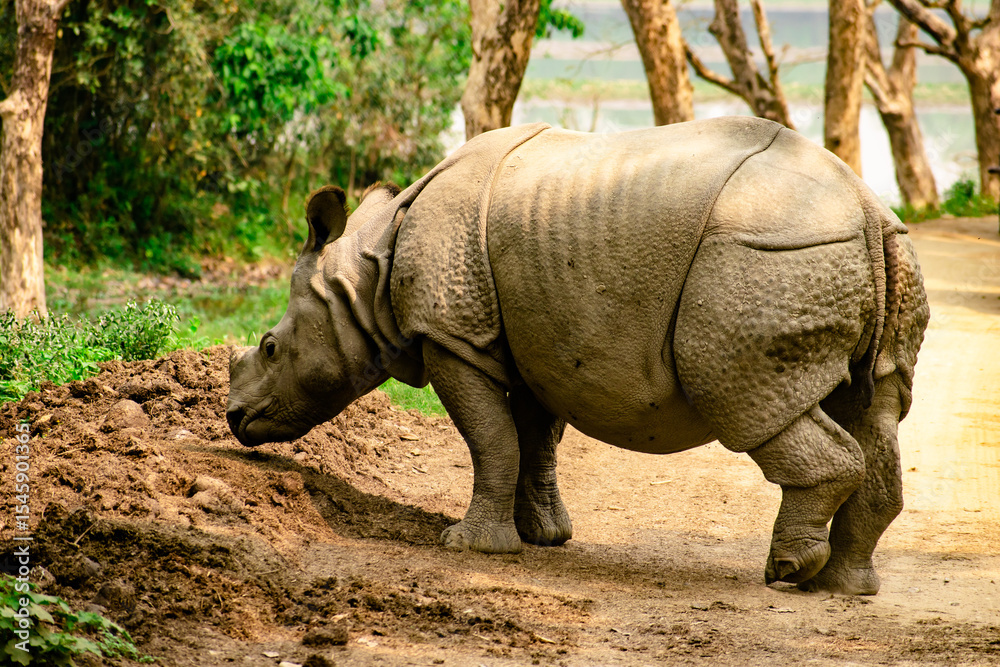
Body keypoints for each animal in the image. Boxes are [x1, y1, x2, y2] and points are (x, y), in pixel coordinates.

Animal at [227, 117, 928, 595]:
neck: (364, 276)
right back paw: (846, 586)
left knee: (748, 402)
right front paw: (543, 537)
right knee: (876, 408)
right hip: (864, 255)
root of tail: (865, 206)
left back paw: (786, 572)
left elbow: (491, 438)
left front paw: (471, 549)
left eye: (269, 347)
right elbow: (531, 438)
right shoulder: (537, 338)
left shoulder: (455, 337)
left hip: (766, 256)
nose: (234, 418)